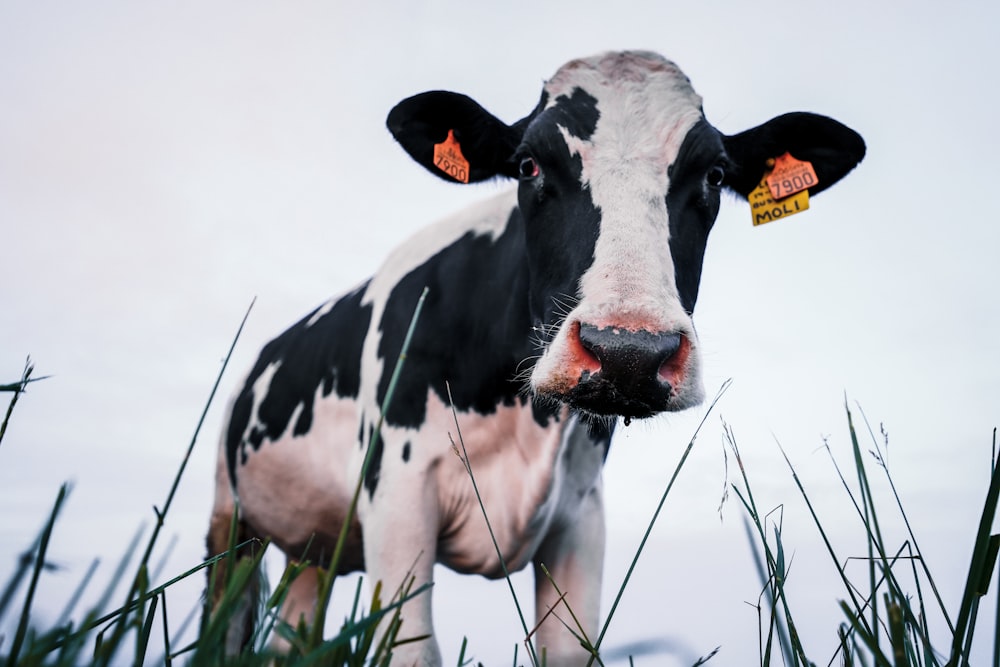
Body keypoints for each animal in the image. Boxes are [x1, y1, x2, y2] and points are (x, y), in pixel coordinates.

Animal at [207, 52, 864, 667]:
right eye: (529, 165)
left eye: (714, 173)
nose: (629, 352)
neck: (521, 414)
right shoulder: (397, 495)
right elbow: (412, 648)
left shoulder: (580, 517)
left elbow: (571, 647)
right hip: (230, 519)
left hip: (311, 550)